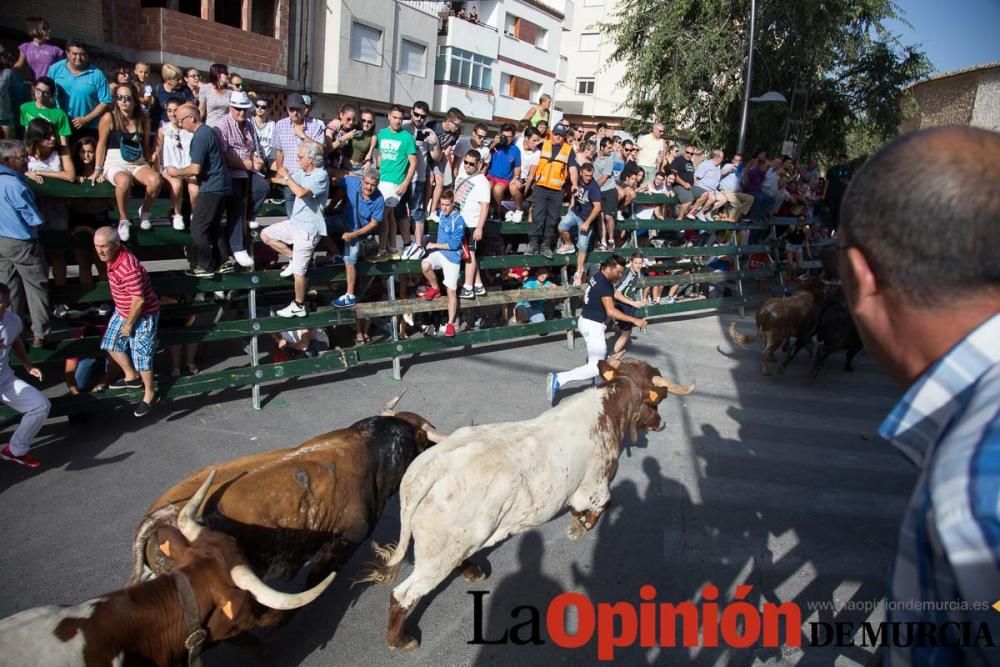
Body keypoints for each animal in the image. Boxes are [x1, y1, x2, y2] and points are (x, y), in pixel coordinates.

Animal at [360, 360, 696, 652]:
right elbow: (601, 506)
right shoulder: (594, 486)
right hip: (439, 552)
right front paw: (579, 527)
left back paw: (473, 571)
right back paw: (401, 640)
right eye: (657, 402)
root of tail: (428, 470)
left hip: (454, 543)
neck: (606, 411)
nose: (661, 423)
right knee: (403, 594)